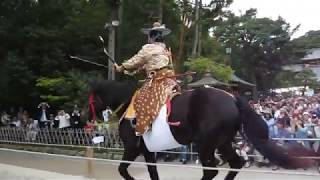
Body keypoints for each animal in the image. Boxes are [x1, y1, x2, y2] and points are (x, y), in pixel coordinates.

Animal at [89, 80, 316, 180]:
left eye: (91, 98)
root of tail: (232, 98)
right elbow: (152, 172)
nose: (84, 116)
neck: (130, 106)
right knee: (235, 163)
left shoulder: (132, 148)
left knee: (211, 170)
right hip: (222, 142)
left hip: (205, 144)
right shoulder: (147, 150)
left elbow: (122, 170)